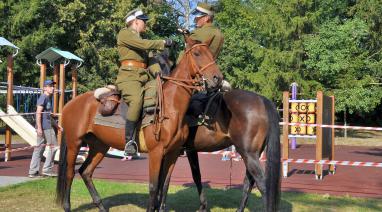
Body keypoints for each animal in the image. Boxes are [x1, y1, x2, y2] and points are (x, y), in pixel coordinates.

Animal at [55, 37, 222, 211]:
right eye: (197, 53)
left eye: (211, 53)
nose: (217, 78)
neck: (171, 108)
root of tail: (70, 104)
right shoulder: (156, 153)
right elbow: (153, 187)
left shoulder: (173, 153)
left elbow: (164, 185)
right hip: (75, 143)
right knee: (70, 173)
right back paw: (67, 206)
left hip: (99, 146)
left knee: (85, 172)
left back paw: (101, 206)